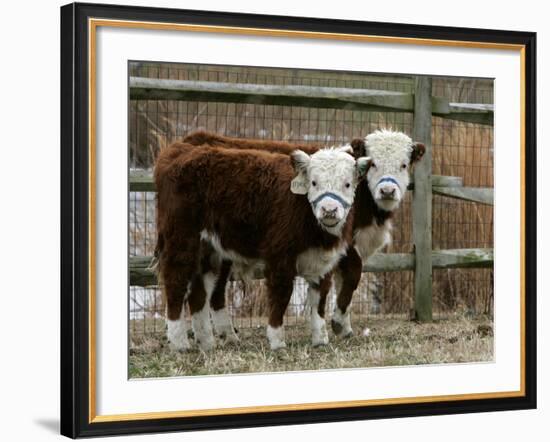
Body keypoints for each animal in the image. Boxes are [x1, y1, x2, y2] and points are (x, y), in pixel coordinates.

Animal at [155, 142, 370, 348]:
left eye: (347, 184)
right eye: (314, 182)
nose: (329, 210)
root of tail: (180, 150)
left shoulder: (324, 260)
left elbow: (319, 299)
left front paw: (321, 340)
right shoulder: (280, 255)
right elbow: (282, 293)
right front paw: (277, 340)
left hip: (211, 251)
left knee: (200, 292)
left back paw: (208, 342)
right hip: (182, 238)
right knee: (176, 279)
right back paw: (180, 342)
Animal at [185, 128, 426, 338]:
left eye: (404, 164)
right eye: (374, 163)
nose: (387, 190)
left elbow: (341, 282)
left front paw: (345, 328)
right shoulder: (346, 243)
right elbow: (353, 275)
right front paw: (339, 323)